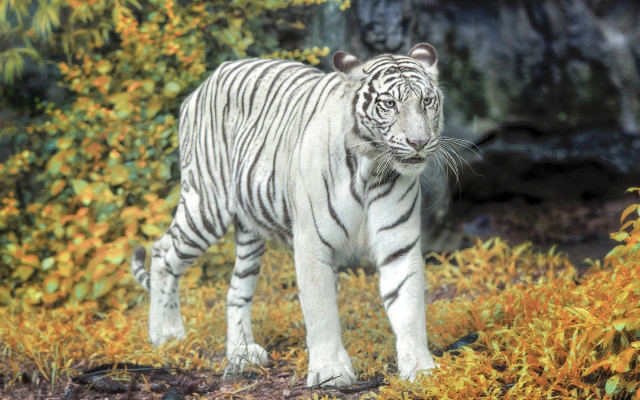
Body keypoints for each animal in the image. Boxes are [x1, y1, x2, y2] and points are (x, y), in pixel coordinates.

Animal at [131, 43, 450, 388]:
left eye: (427, 101)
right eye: (389, 103)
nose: (419, 142)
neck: (372, 167)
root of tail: (210, 78)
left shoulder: (398, 243)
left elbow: (409, 307)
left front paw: (421, 370)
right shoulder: (312, 243)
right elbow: (320, 311)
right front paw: (330, 372)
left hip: (249, 231)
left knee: (236, 289)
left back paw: (241, 353)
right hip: (204, 207)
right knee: (162, 252)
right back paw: (165, 334)